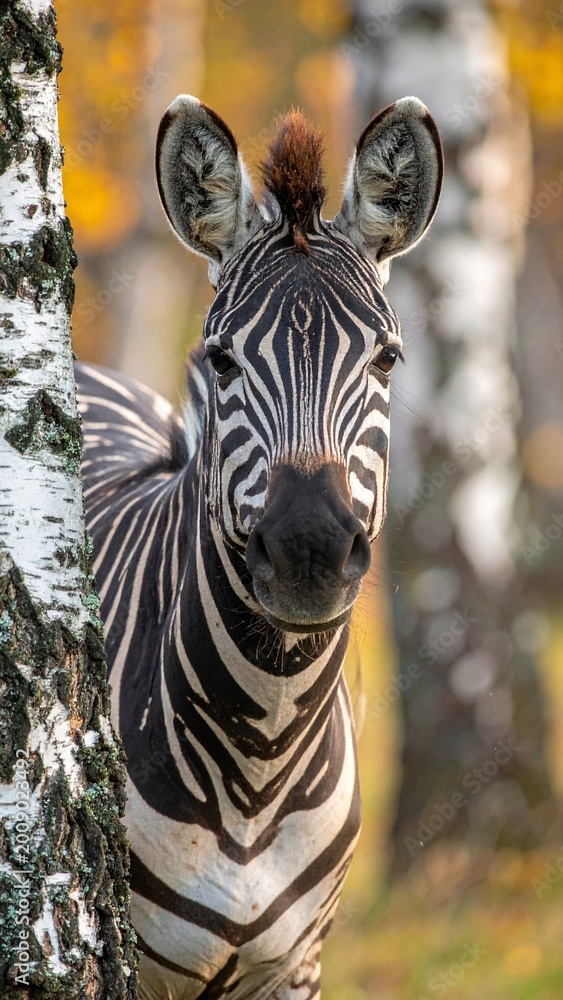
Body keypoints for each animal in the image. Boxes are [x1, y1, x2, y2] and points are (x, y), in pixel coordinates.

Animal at [76, 95, 442, 1000]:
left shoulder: (295, 965)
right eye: (221, 358)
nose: (308, 552)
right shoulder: (130, 962)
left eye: (388, 358)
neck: (262, 755)